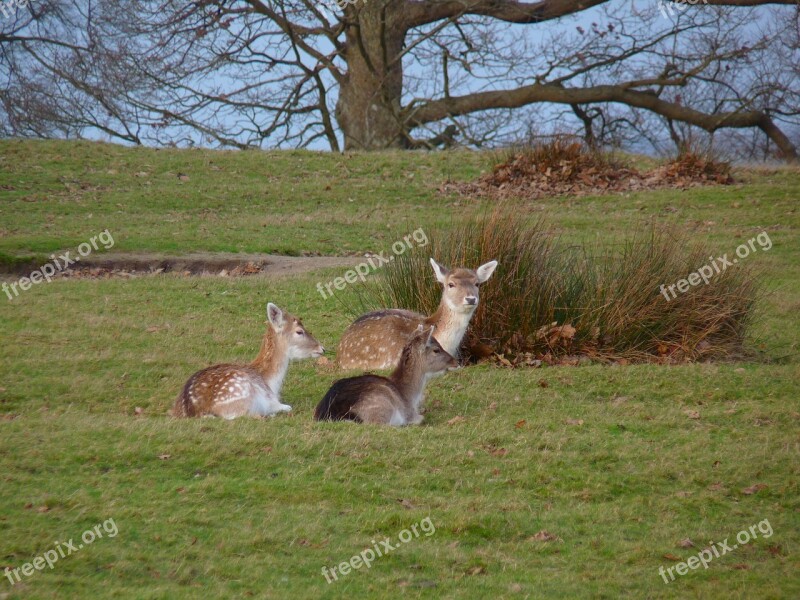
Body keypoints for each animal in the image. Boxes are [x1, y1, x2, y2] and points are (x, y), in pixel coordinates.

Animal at [173, 302, 324, 420]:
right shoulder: (271, 400)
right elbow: (287, 406)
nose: (322, 348)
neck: (271, 383)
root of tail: (196, 411)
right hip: (240, 393)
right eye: (299, 331)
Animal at [316, 324, 460, 426]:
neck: (410, 397)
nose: (456, 361)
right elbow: (420, 418)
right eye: (436, 350)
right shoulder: (409, 414)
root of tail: (332, 414)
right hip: (381, 406)